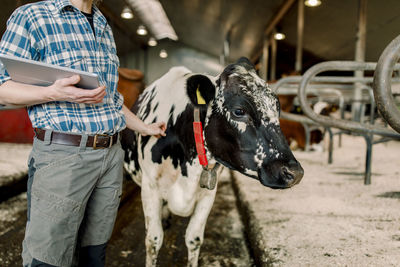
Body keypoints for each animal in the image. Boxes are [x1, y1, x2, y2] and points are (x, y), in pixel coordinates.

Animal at [121, 57, 304, 266]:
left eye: (277, 109)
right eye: (239, 111)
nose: (294, 172)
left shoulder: (208, 193)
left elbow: (193, 239)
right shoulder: (149, 187)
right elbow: (153, 240)